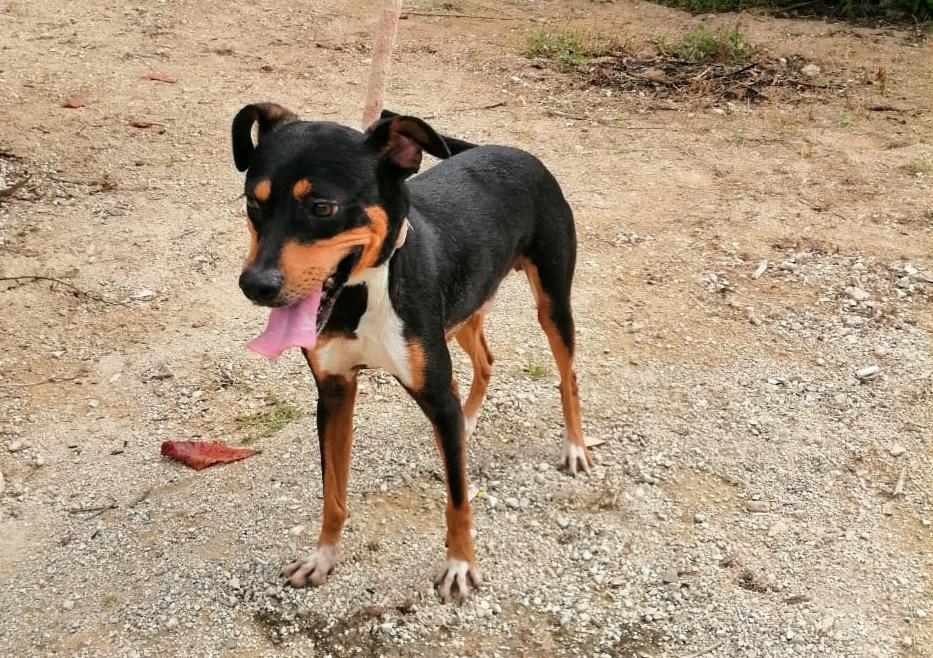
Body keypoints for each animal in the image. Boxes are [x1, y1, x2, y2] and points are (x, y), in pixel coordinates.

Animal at [230, 102, 588, 600]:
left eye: (322, 208)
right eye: (253, 204)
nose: (254, 286)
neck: (363, 292)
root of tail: (512, 152)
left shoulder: (433, 391)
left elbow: (457, 498)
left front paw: (460, 563)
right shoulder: (335, 392)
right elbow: (332, 493)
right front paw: (323, 556)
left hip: (552, 303)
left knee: (566, 374)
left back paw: (574, 447)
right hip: (463, 312)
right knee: (484, 362)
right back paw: (467, 422)